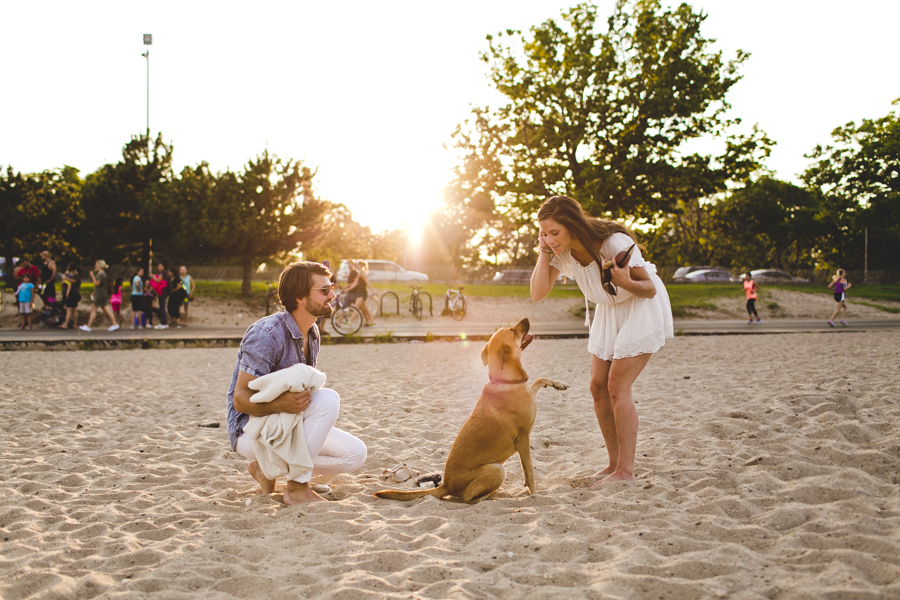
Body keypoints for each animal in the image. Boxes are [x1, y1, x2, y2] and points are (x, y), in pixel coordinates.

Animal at [376, 316, 568, 504]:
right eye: (513, 331)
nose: (527, 318)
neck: (506, 380)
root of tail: (446, 484)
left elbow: (539, 380)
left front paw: (557, 384)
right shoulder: (522, 437)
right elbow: (529, 472)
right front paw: (535, 494)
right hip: (497, 469)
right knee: (468, 498)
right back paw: (494, 494)